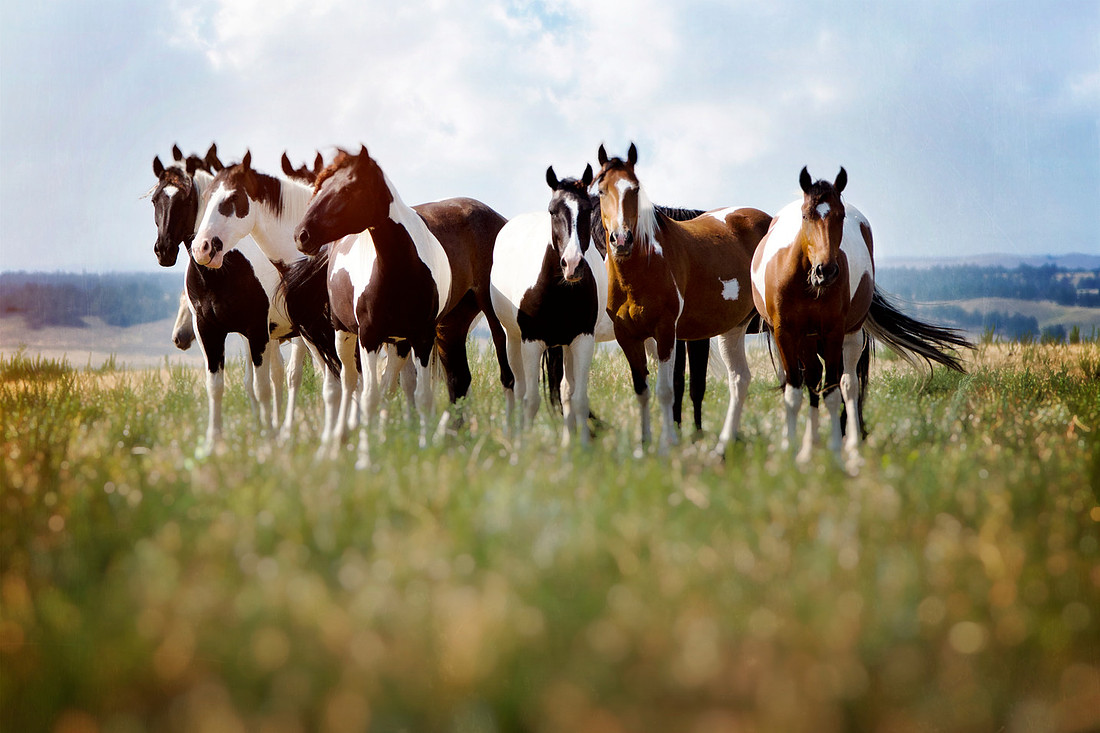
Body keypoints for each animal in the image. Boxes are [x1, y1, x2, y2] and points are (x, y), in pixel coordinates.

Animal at [293, 145, 515, 467]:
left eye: (347, 188)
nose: (301, 235)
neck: (398, 265)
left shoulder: (421, 337)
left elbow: (421, 395)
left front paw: (421, 447)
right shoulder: (369, 338)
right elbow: (371, 396)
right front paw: (365, 456)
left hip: (473, 323)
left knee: (497, 377)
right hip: (350, 334)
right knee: (351, 384)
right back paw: (340, 440)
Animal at [595, 143, 772, 456]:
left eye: (635, 189)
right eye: (601, 190)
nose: (621, 239)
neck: (646, 263)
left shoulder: (666, 332)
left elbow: (667, 390)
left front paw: (666, 446)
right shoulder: (627, 335)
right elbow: (642, 390)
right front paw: (643, 447)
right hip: (734, 328)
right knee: (740, 379)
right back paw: (722, 447)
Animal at [750, 166, 971, 468]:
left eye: (840, 215)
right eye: (806, 215)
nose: (826, 271)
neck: (806, 283)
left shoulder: (833, 333)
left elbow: (833, 392)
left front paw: (835, 452)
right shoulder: (785, 333)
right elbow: (795, 392)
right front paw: (792, 453)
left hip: (850, 335)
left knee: (849, 385)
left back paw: (852, 446)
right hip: (807, 339)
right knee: (814, 381)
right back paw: (810, 446)